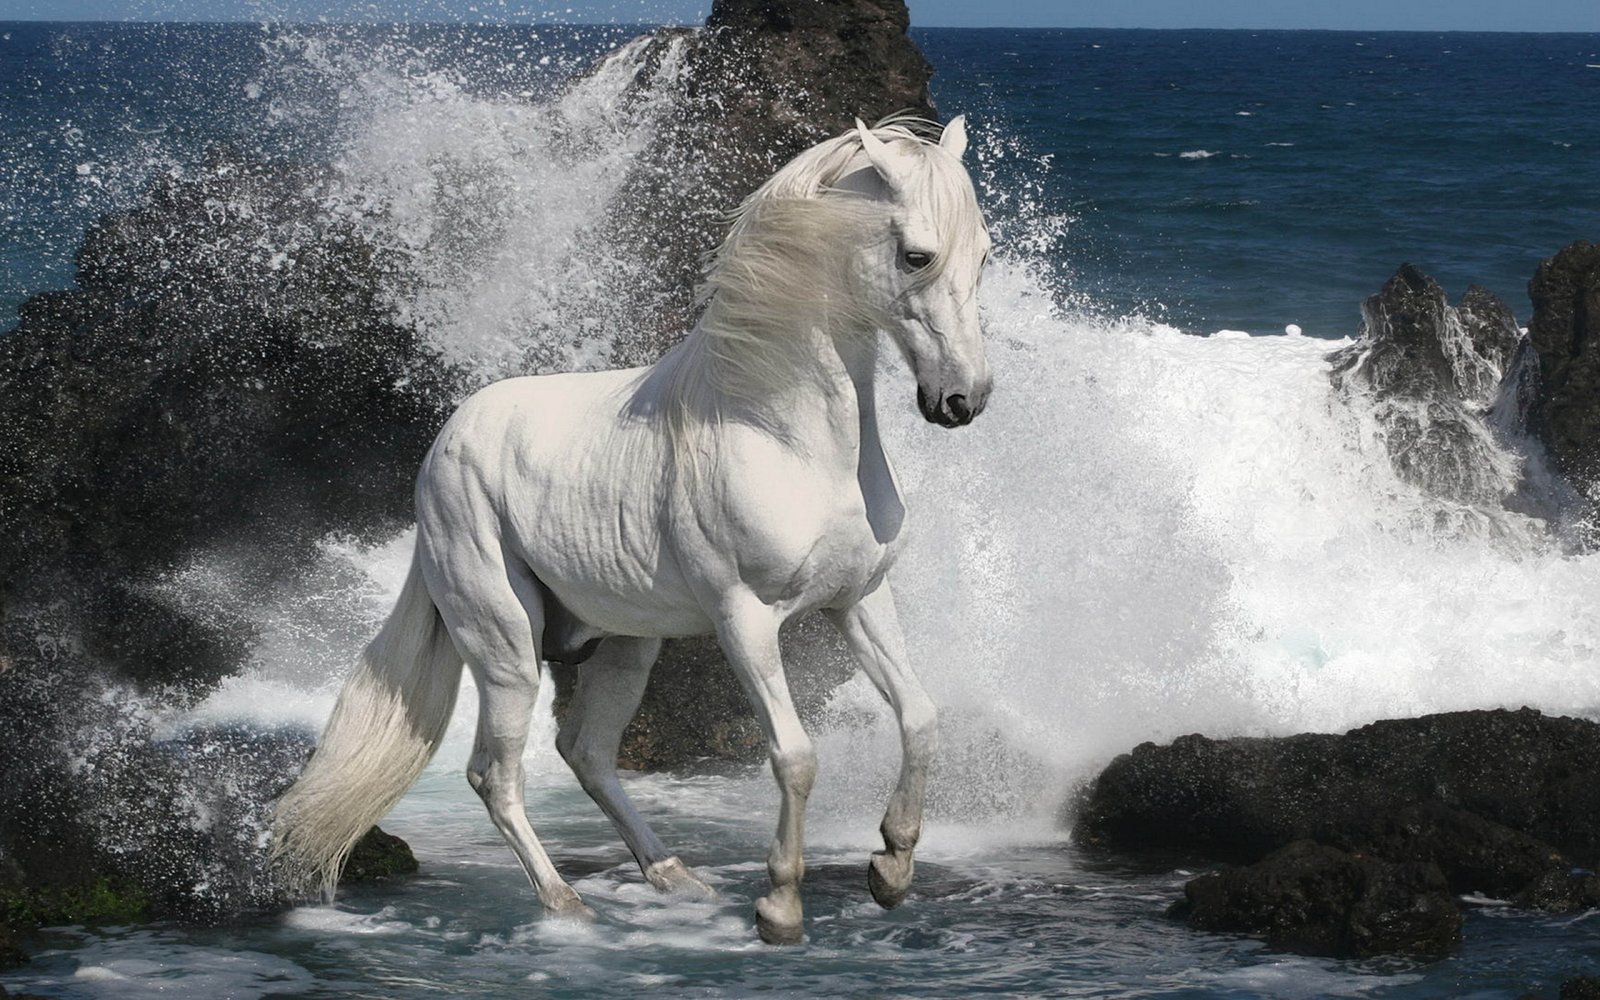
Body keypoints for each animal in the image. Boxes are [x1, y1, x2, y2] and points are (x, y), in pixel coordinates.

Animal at [271, 114, 992, 945]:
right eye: (917, 255)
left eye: (983, 254)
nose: (962, 400)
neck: (786, 435)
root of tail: (445, 444)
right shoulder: (745, 620)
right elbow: (795, 756)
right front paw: (780, 907)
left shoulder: (860, 599)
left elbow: (921, 717)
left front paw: (891, 868)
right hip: (505, 647)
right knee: (496, 772)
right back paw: (566, 904)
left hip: (625, 644)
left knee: (584, 752)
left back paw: (673, 875)